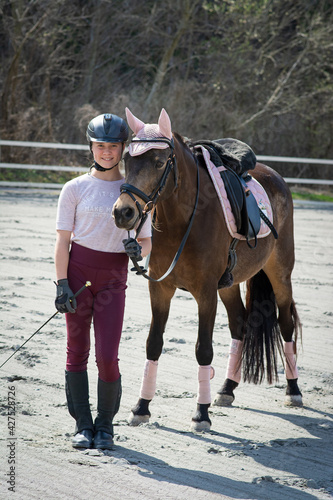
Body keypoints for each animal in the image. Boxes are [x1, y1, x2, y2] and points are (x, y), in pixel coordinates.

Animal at [111, 107, 300, 432]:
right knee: (239, 324)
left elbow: (204, 350)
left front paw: (201, 413)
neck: (183, 221)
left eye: (159, 162)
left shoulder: (206, 293)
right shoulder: (160, 289)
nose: (123, 212)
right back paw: (226, 388)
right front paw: (142, 407)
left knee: (285, 324)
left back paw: (293, 390)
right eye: (127, 159)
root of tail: (274, 175)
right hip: (230, 285)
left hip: (280, 274)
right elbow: (153, 344)